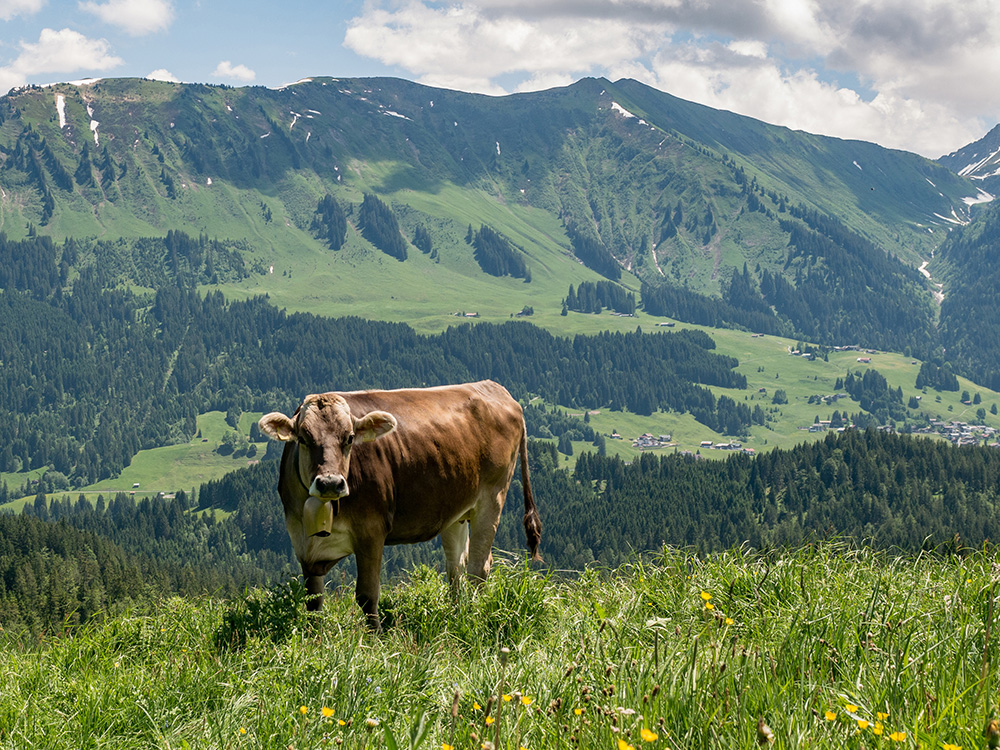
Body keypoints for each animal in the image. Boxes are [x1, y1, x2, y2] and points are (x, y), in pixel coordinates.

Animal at [256, 378, 540, 632]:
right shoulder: (302, 542)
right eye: (303, 438)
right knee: (457, 568)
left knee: (478, 568)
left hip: (492, 498)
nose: (330, 483)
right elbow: (313, 602)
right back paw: (456, 615)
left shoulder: (371, 531)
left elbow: (367, 595)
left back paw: (473, 616)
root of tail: (494, 387)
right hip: (455, 507)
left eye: (349, 438)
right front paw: (314, 640)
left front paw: (375, 641)